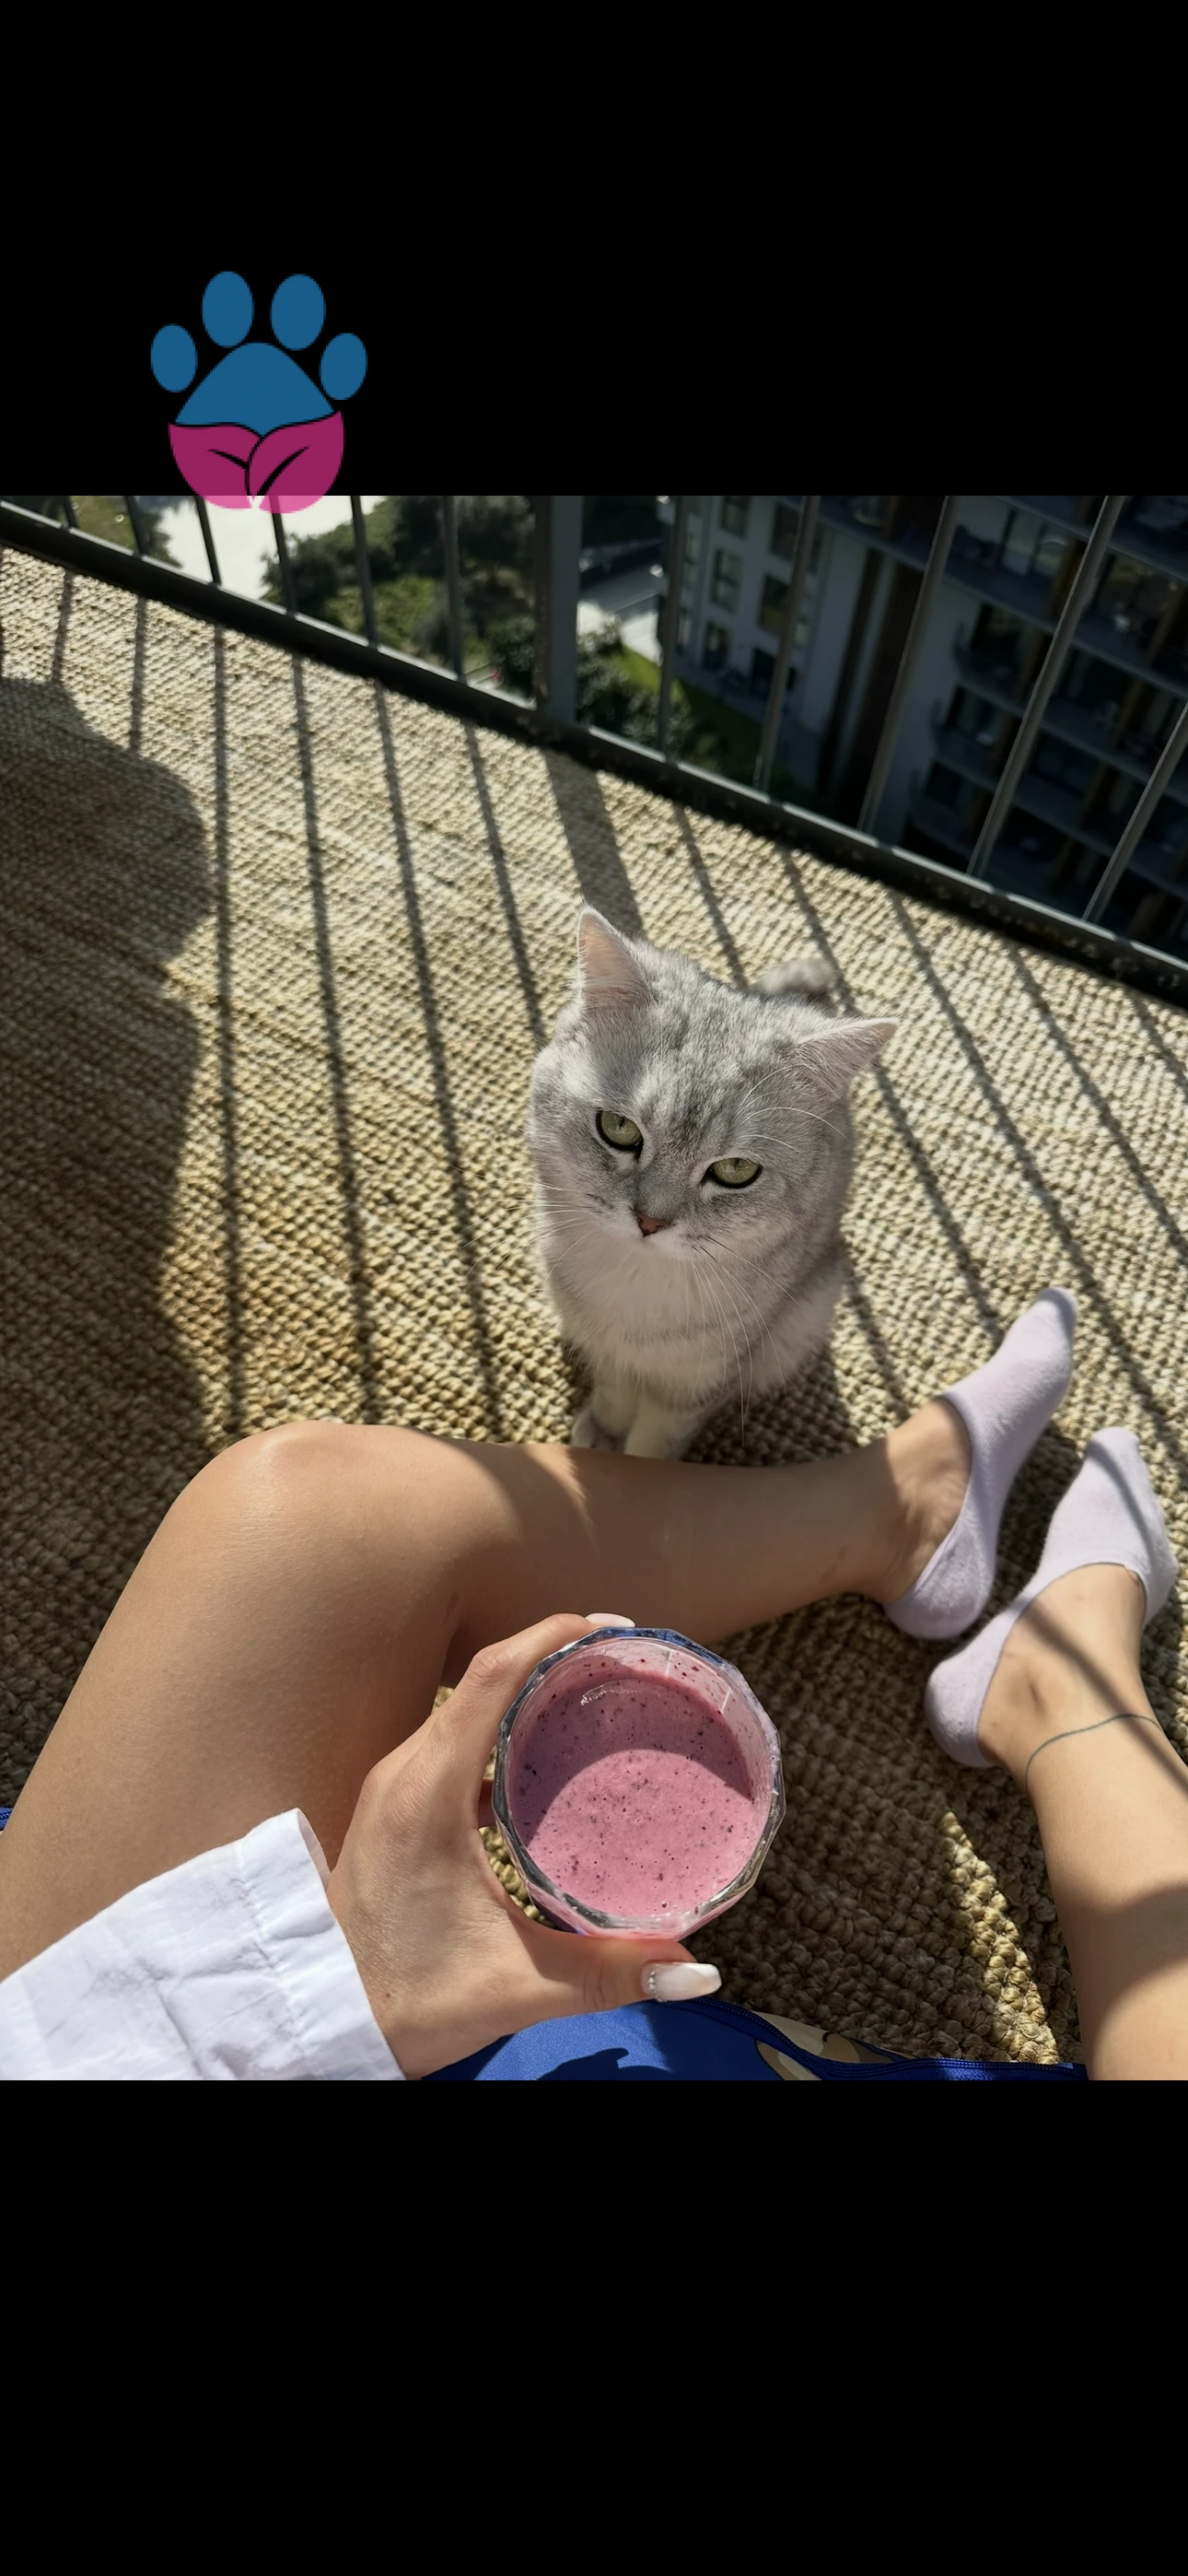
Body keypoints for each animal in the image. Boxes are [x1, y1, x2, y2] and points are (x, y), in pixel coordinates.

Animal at [528, 906, 896, 1459]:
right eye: (619, 1129)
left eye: (735, 1172)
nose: (649, 1221)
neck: (636, 1287)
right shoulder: (613, 1356)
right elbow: (614, 1395)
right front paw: (602, 1435)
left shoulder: (695, 1385)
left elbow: (653, 1447)